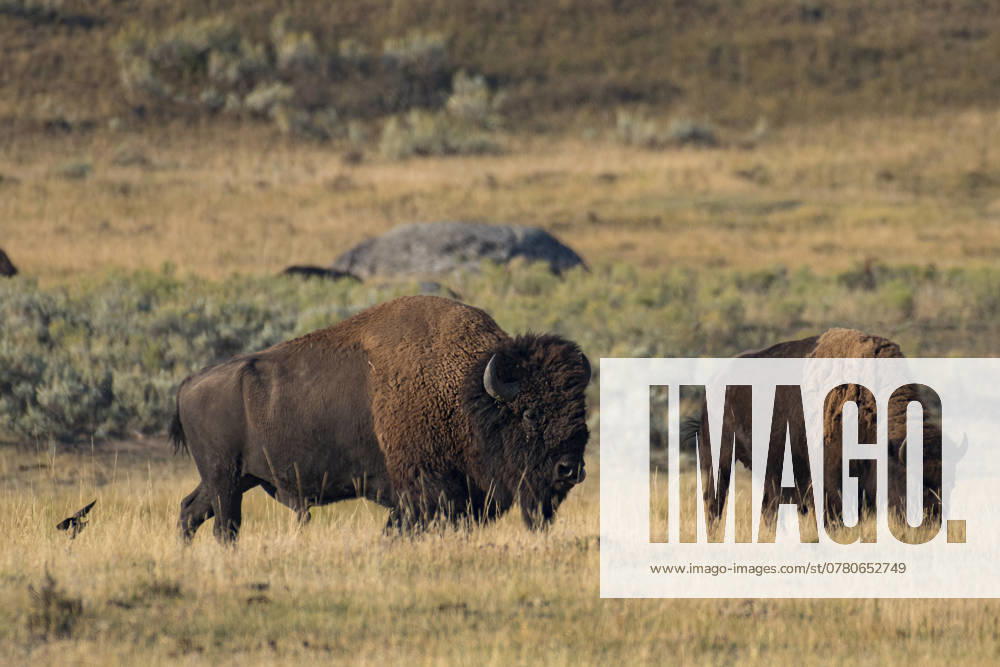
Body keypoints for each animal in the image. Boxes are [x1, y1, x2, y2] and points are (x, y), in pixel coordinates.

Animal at [170, 295, 591, 543]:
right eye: (530, 412)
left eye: (580, 412)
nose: (569, 469)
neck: (466, 393)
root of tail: (190, 383)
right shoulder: (423, 493)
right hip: (225, 478)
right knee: (224, 525)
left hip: (239, 478)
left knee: (191, 510)